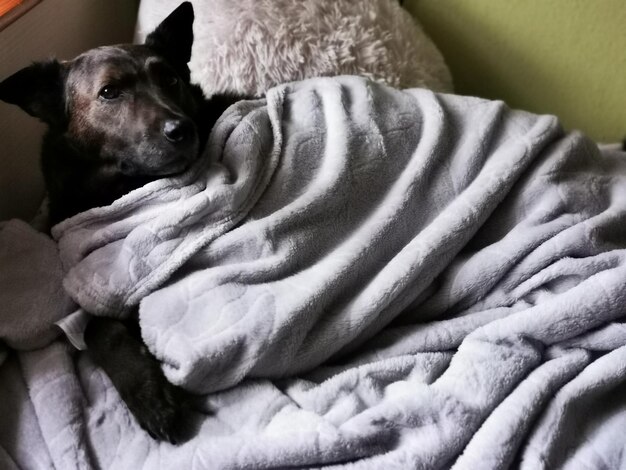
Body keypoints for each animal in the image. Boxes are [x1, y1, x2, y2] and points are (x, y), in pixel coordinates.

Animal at [0, 2, 241, 444]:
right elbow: (97, 327)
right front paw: (148, 392)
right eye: (109, 92)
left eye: (171, 78)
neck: (116, 187)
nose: (182, 129)